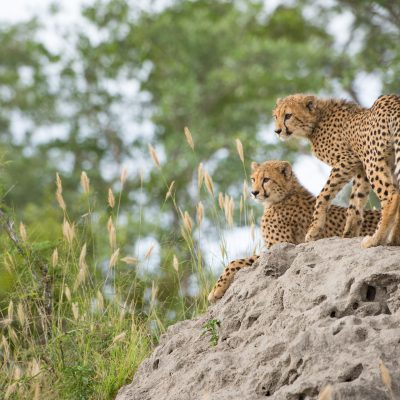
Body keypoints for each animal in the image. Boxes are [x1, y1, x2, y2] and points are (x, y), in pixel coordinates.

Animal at [208, 161, 380, 302]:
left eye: (266, 179)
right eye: (253, 179)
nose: (254, 192)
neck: (286, 194)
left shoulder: (281, 248)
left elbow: (234, 262)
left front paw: (216, 290)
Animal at [274, 95, 400, 248]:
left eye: (288, 115)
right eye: (275, 116)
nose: (277, 131)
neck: (317, 120)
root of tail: (393, 99)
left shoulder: (348, 160)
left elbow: (323, 195)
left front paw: (314, 230)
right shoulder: (360, 166)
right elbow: (356, 199)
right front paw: (348, 234)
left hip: (373, 160)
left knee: (391, 196)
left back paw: (375, 240)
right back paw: (394, 240)